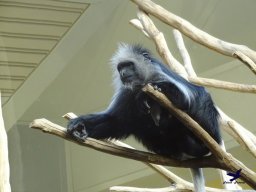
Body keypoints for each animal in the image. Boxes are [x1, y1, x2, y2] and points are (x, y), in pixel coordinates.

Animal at [68, 43, 222, 192]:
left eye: (128, 65)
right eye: (120, 68)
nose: (122, 73)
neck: (142, 82)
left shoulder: (160, 75)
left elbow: (184, 101)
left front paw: (147, 94)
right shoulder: (127, 93)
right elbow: (116, 121)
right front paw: (79, 126)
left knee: (201, 100)